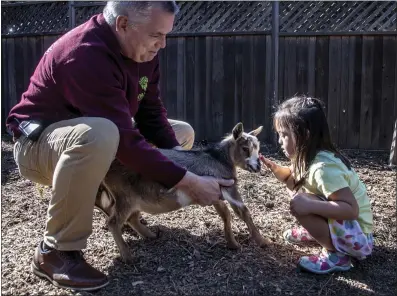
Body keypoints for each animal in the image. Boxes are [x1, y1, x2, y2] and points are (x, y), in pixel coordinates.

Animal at [94, 121, 270, 262]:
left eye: (258, 148)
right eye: (245, 148)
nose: (258, 167)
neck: (218, 159)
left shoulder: (215, 194)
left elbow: (225, 214)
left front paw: (232, 243)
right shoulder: (229, 187)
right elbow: (243, 211)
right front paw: (263, 242)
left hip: (134, 198)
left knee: (131, 218)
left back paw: (150, 235)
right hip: (125, 196)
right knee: (113, 222)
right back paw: (128, 256)